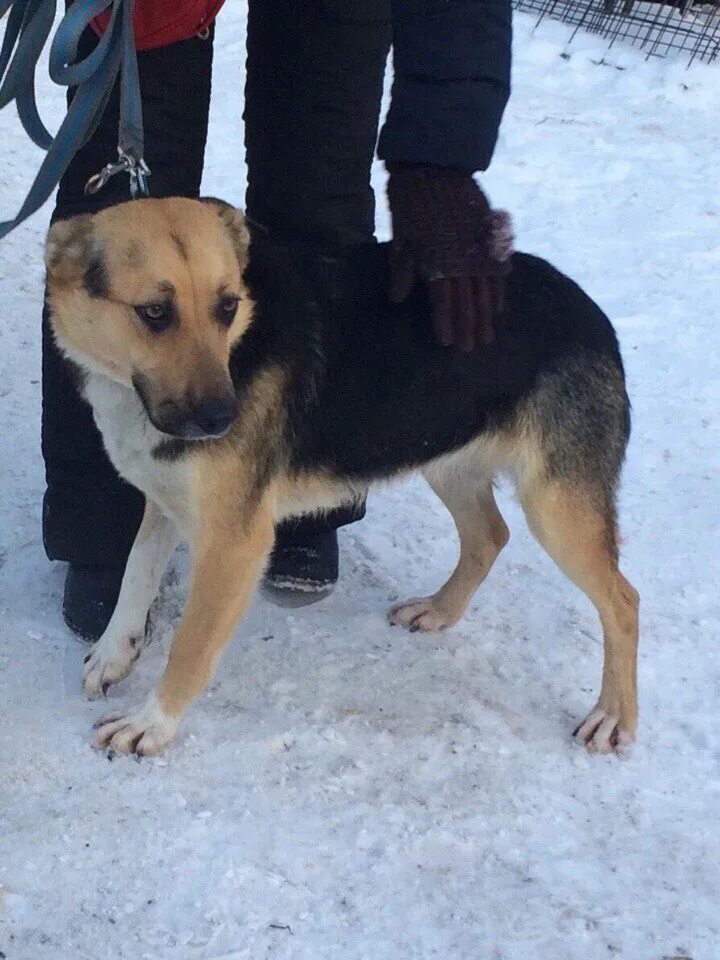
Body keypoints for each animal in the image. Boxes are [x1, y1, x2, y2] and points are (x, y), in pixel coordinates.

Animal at [45, 199, 640, 756]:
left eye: (227, 306)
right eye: (153, 312)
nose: (222, 419)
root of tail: (590, 311)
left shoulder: (235, 541)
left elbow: (190, 644)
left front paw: (153, 723)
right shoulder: (166, 499)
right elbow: (134, 576)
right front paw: (113, 653)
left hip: (555, 507)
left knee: (623, 601)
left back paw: (614, 717)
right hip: (441, 453)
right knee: (490, 535)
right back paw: (440, 610)